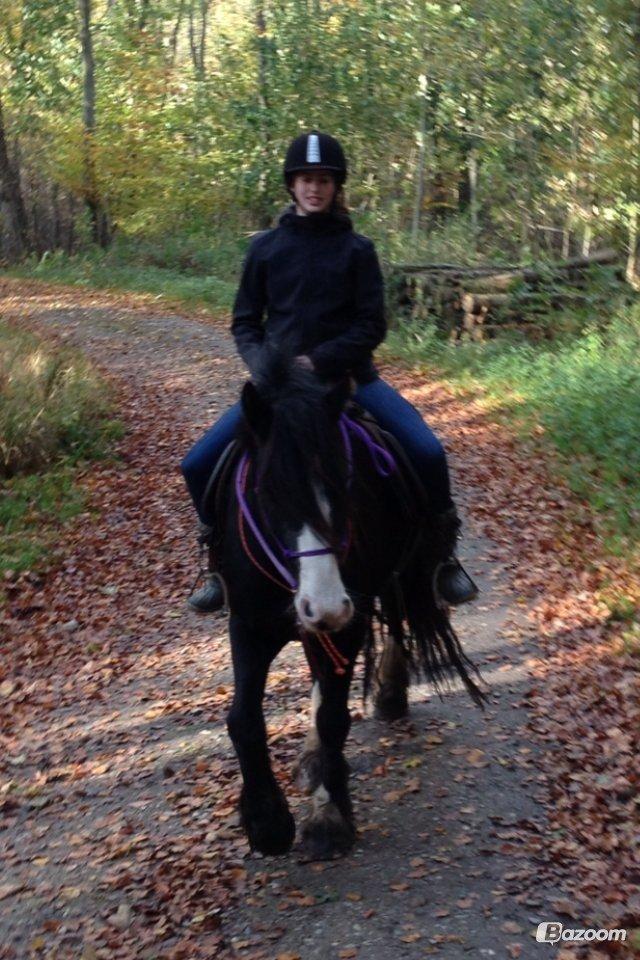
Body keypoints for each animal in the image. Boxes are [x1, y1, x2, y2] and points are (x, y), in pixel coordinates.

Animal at [211, 348, 484, 860]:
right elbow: (243, 719)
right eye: (267, 492)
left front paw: (329, 817)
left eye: (346, 483)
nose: (326, 607)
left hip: (398, 569)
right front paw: (266, 822)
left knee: (394, 618)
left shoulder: (348, 623)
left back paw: (389, 693)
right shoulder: (249, 623)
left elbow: (334, 717)